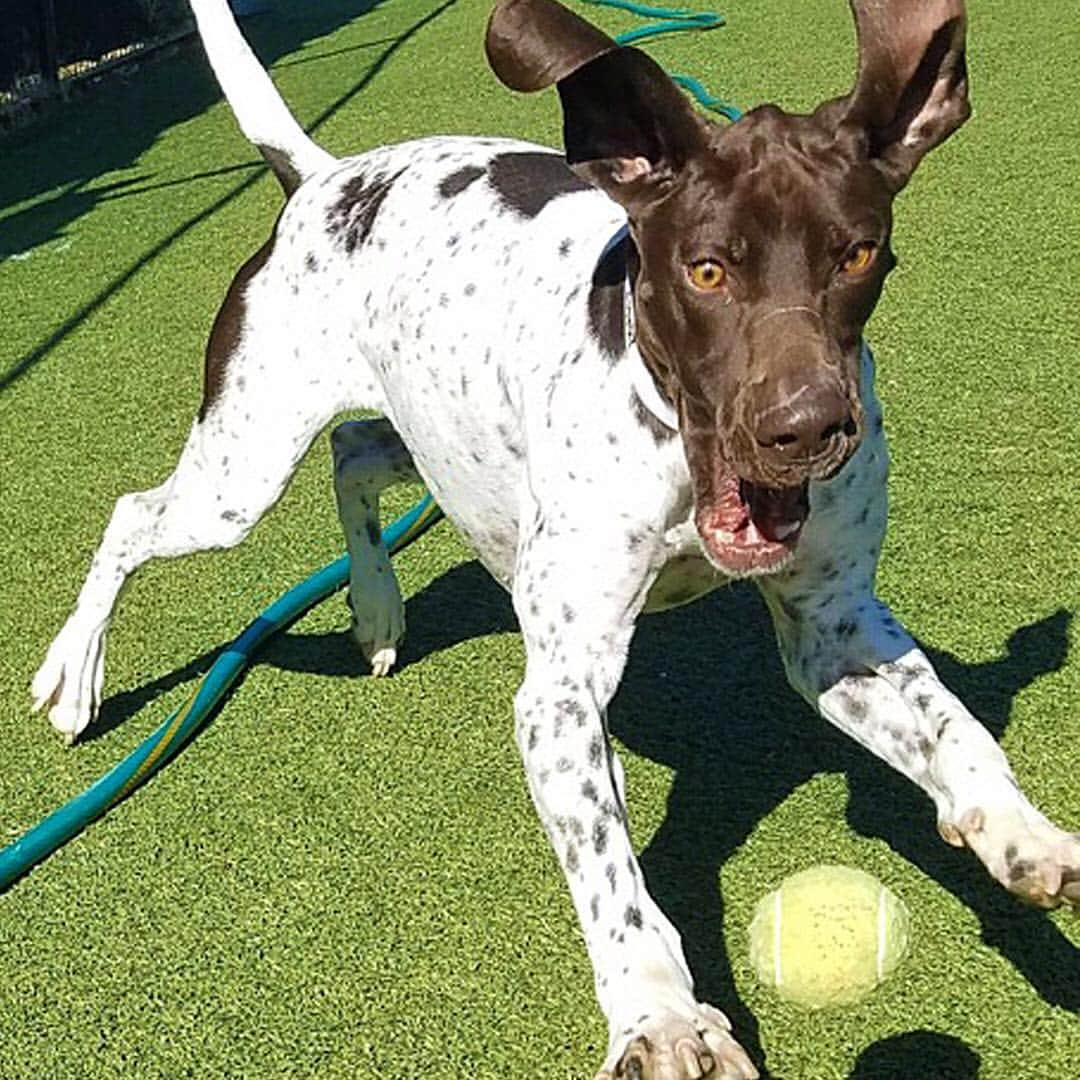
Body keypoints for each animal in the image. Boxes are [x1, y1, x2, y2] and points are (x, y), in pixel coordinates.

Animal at [29, 0, 1075, 1075]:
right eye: (706, 270)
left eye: (858, 254)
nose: (809, 429)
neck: (671, 440)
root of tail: (323, 176)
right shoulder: (564, 691)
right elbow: (613, 879)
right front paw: (659, 1013)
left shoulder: (833, 627)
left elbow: (952, 724)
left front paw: (1018, 831)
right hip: (241, 471)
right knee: (134, 515)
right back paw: (76, 676)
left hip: (434, 443)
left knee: (356, 453)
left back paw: (374, 608)